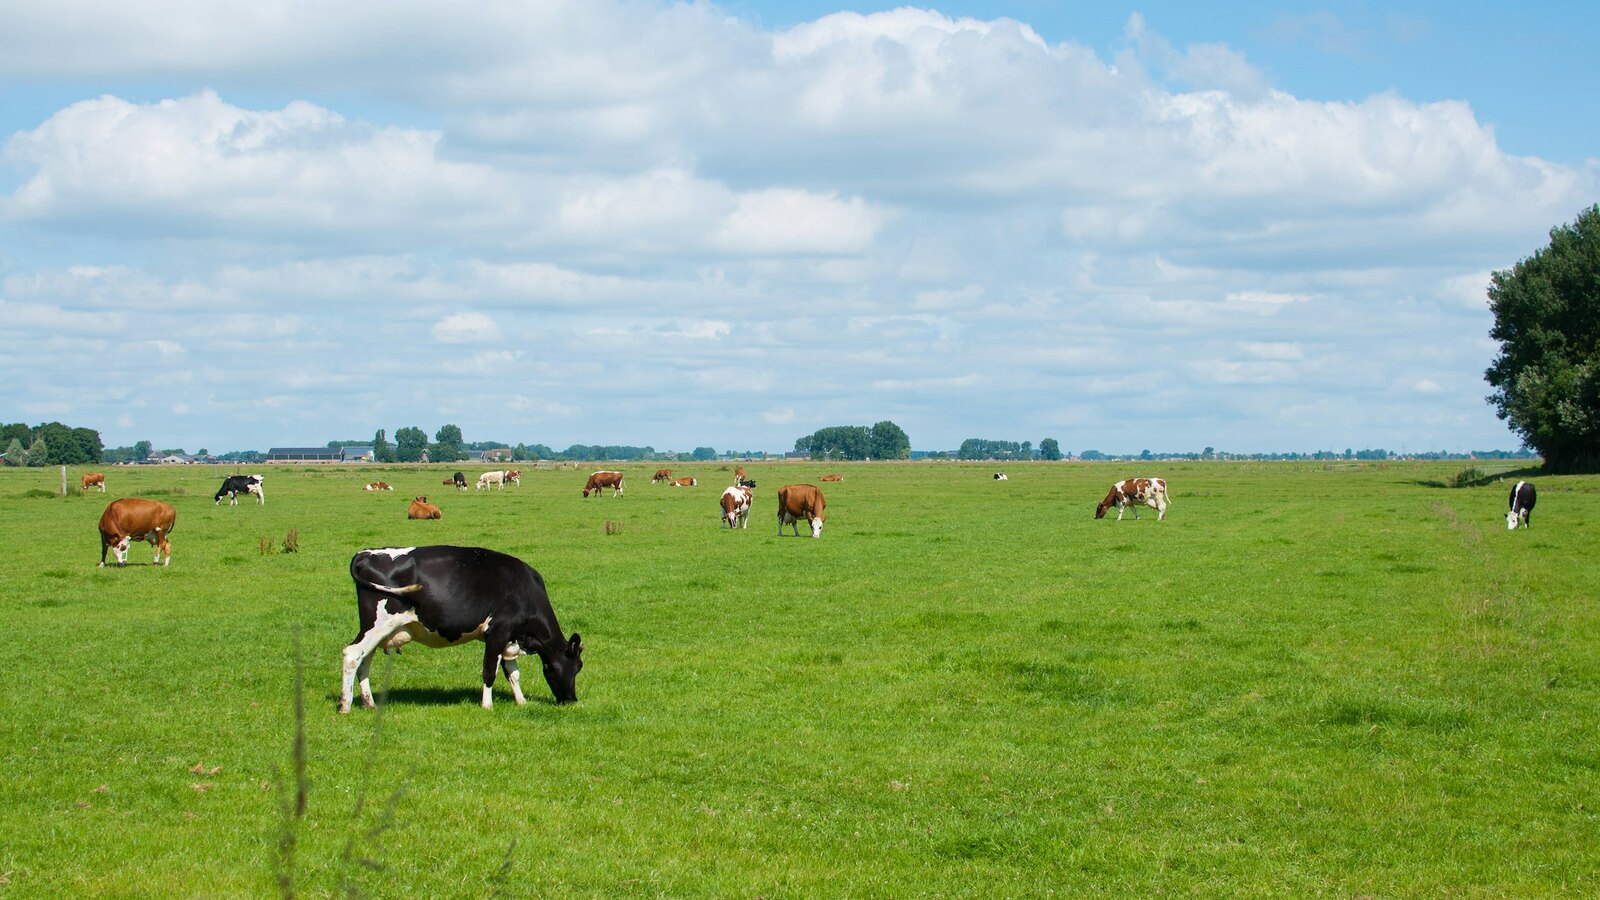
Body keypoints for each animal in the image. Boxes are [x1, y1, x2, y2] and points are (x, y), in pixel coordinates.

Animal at [339, 545, 584, 713]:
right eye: (575, 667)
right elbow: (490, 671)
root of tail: (367, 553)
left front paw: (521, 701)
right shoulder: (497, 632)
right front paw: (487, 705)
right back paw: (345, 705)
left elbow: (513, 673)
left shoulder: (510, 638)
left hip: (376, 630)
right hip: (377, 625)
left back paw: (369, 703)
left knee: (364, 661)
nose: (571, 700)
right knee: (352, 655)